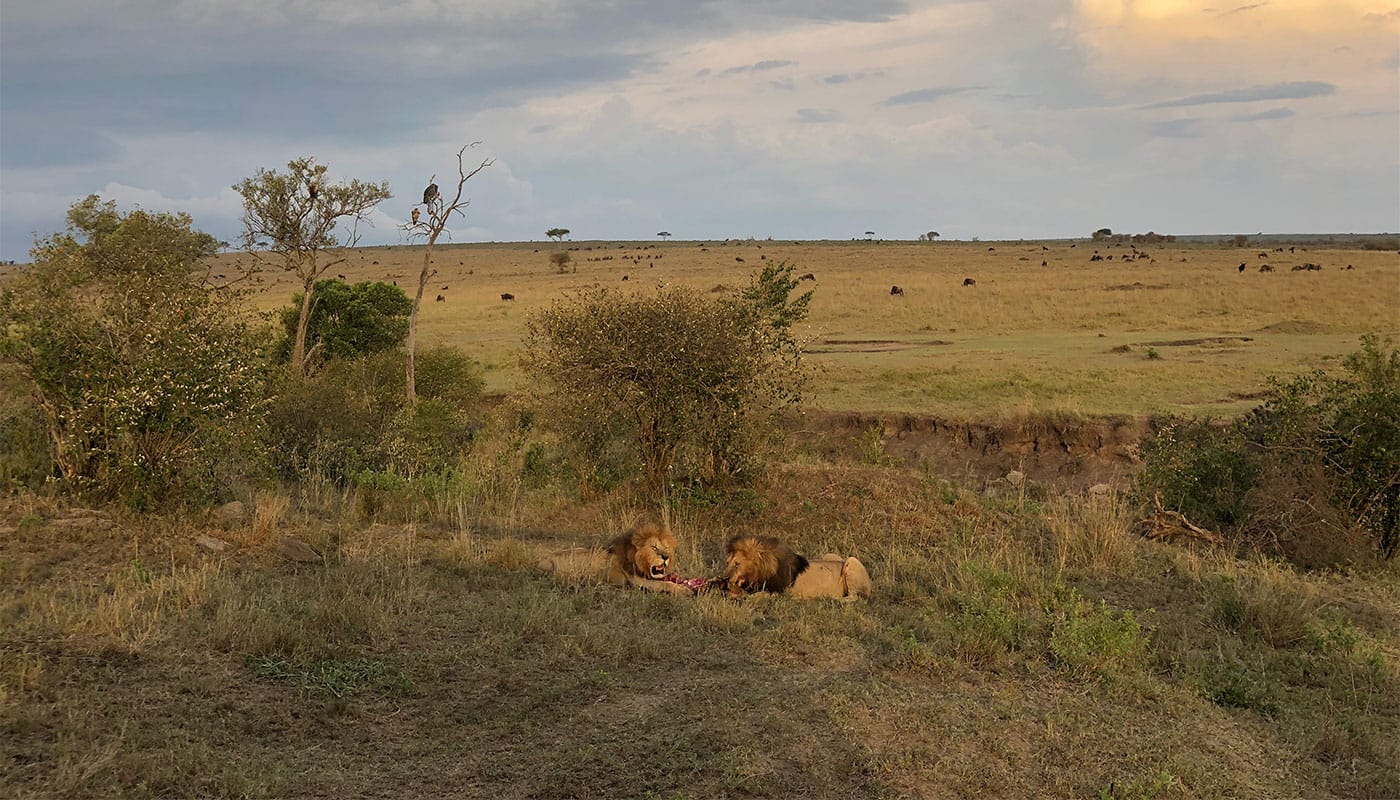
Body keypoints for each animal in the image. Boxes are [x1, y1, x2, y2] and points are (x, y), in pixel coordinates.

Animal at [537, 518, 694, 596]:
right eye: (654, 547)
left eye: (666, 548)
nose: (666, 557)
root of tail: (540, 561)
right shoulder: (635, 580)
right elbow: (664, 583)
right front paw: (684, 590)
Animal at [722, 535, 872, 601]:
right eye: (727, 563)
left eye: (737, 564)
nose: (724, 578)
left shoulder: (780, 592)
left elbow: (759, 595)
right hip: (830, 554)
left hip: (851, 560)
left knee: (855, 597)